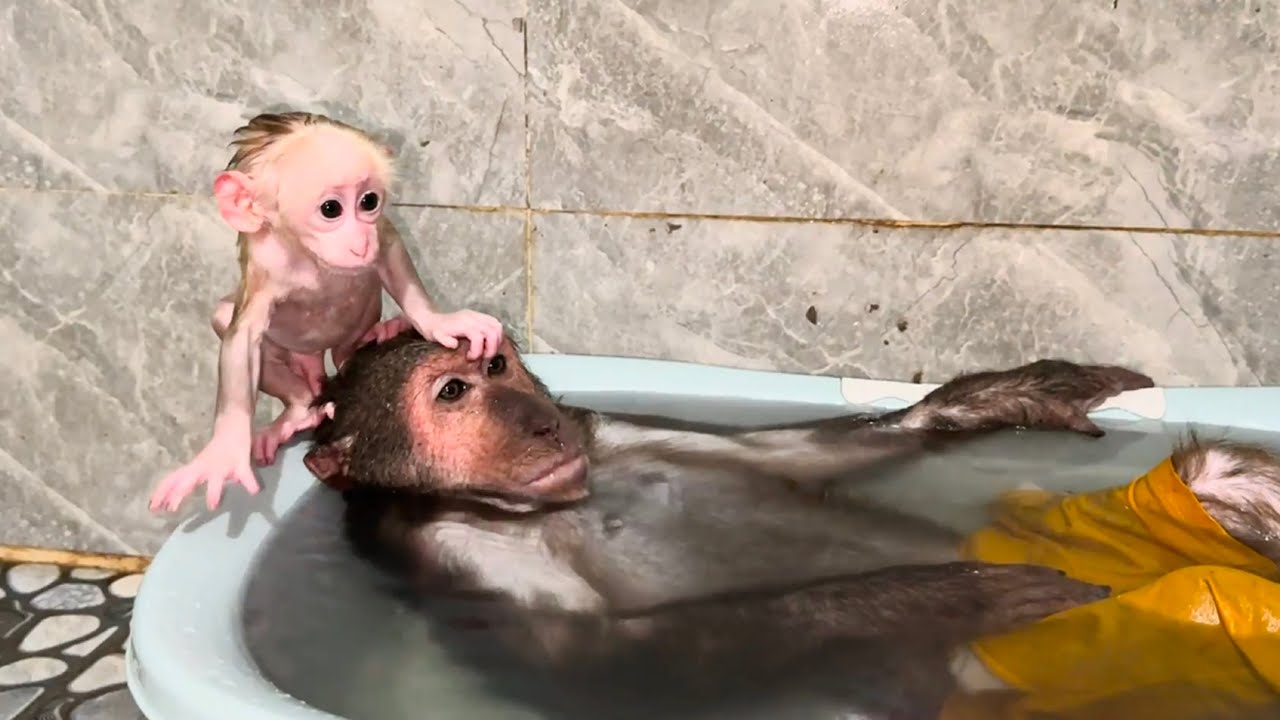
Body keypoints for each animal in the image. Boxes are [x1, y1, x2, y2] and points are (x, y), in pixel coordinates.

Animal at [149, 112, 504, 514]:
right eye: (330, 209)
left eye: (369, 201)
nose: (361, 242)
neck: (309, 255)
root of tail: (315, 357)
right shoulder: (266, 266)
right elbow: (243, 339)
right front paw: (224, 448)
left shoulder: (380, 236)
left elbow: (391, 250)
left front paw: (437, 321)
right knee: (225, 319)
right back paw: (301, 408)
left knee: (348, 349)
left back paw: (378, 335)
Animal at [289, 328, 1176, 718]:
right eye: (453, 393)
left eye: (497, 364)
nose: (538, 424)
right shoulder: (449, 551)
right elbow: (615, 672)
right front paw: (939, 595)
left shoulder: (599, 429)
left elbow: (793, 455)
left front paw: (1011, 395)